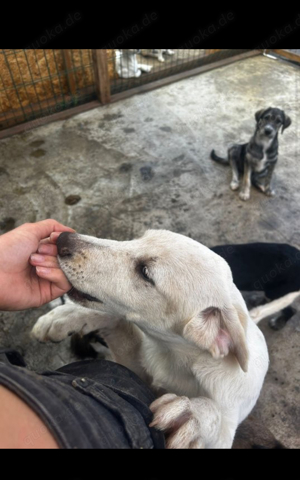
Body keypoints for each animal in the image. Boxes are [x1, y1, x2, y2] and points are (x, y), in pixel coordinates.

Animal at [32, 231, 270, 448]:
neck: (176, 357)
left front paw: (193, 415)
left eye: (145, 272)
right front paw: (67, 316)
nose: (63, 238)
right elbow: (114, 318)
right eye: (137, 239)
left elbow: (216, 417)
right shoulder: (135, 369)